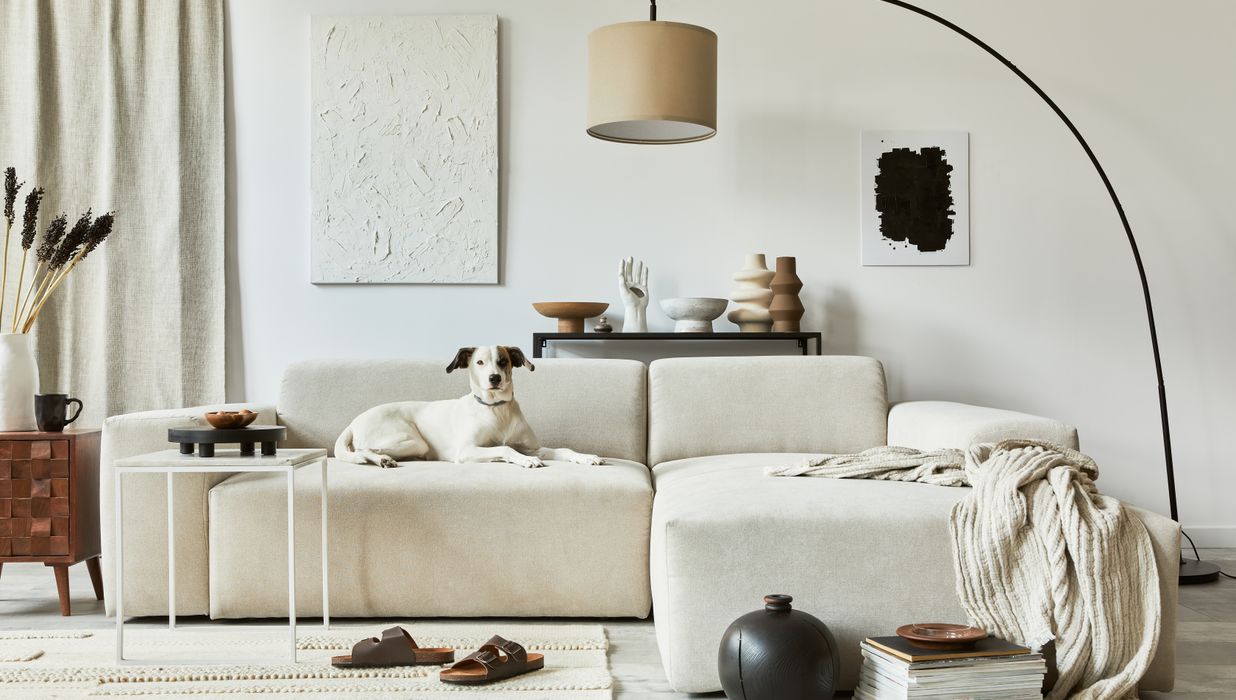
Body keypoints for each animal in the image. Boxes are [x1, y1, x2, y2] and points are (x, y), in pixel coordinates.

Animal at [334, 346, 604, 469]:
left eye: (503, 361)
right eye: (480, 362)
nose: (494, 378)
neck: (496, 410)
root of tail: (353, 422)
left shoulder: (532, 447)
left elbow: (563, 449)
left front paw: (585, 456)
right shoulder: (466, 451)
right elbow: (505, 449)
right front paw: (523, 461)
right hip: (410, 440)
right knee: (366, 449)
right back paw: (382, 460)